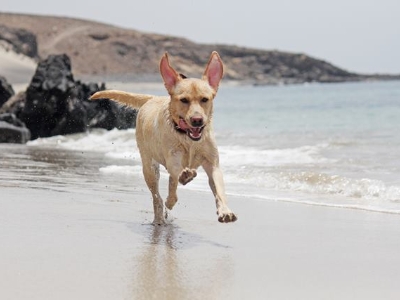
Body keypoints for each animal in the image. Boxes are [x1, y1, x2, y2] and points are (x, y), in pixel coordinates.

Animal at [90, 51, 238, 224]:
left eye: (204, 99)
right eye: (184, 100)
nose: (197, 120)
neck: (188, 139)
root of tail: (152, 98)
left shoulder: (212, 164)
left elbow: (219, 190)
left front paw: (225, 211)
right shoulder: (172, 158)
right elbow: (176, 170)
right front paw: (182, 179)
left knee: (171, 184)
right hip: (149, 167)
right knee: (157, 196)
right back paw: (161, 213)